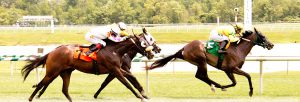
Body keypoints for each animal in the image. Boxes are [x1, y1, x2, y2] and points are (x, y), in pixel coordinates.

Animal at [22, 28, 158, 102]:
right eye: (146, 42)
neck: (115, 50)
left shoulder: (116, 69)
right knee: (41, 84)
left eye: (150, 40)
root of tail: (52, 51)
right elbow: (127, 83)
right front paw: (140, 96)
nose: (153, 53)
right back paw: (31, 98)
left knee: (64, 90)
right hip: (52, 72)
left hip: (65, 72)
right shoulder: (115, 70)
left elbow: (132, 77)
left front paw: (144, 93)